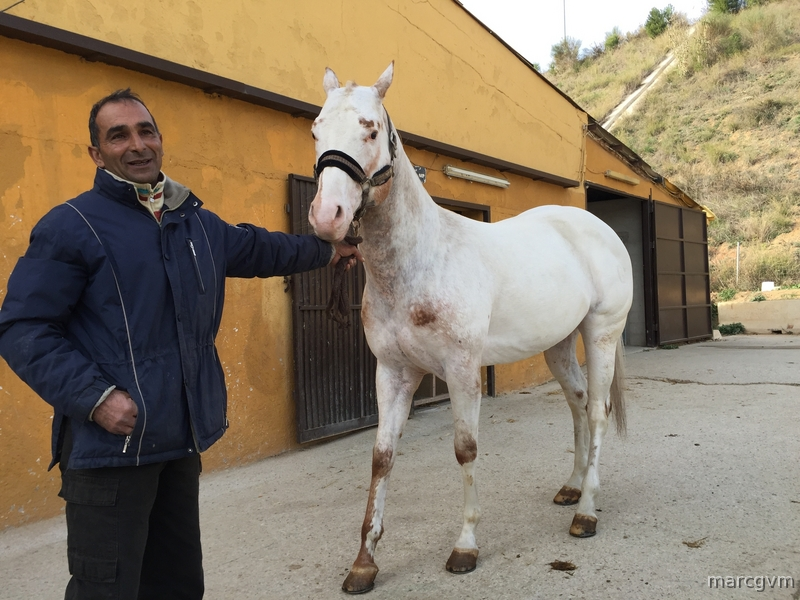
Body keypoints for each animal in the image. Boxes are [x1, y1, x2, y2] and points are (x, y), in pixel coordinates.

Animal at [308, 62, 633, 594]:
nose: (327, 216)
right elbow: (382, 457)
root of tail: (597, 228)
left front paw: (465, 546)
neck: (419, 263)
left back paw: (586, 511)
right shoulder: (393, 373)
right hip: (559, 345)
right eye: (316, 131)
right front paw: (364, 562)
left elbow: (465, 450)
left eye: (370, 129)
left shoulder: (461, 370)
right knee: (579, 402)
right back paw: (571, 486)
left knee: (599, 412)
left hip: (600, 334)